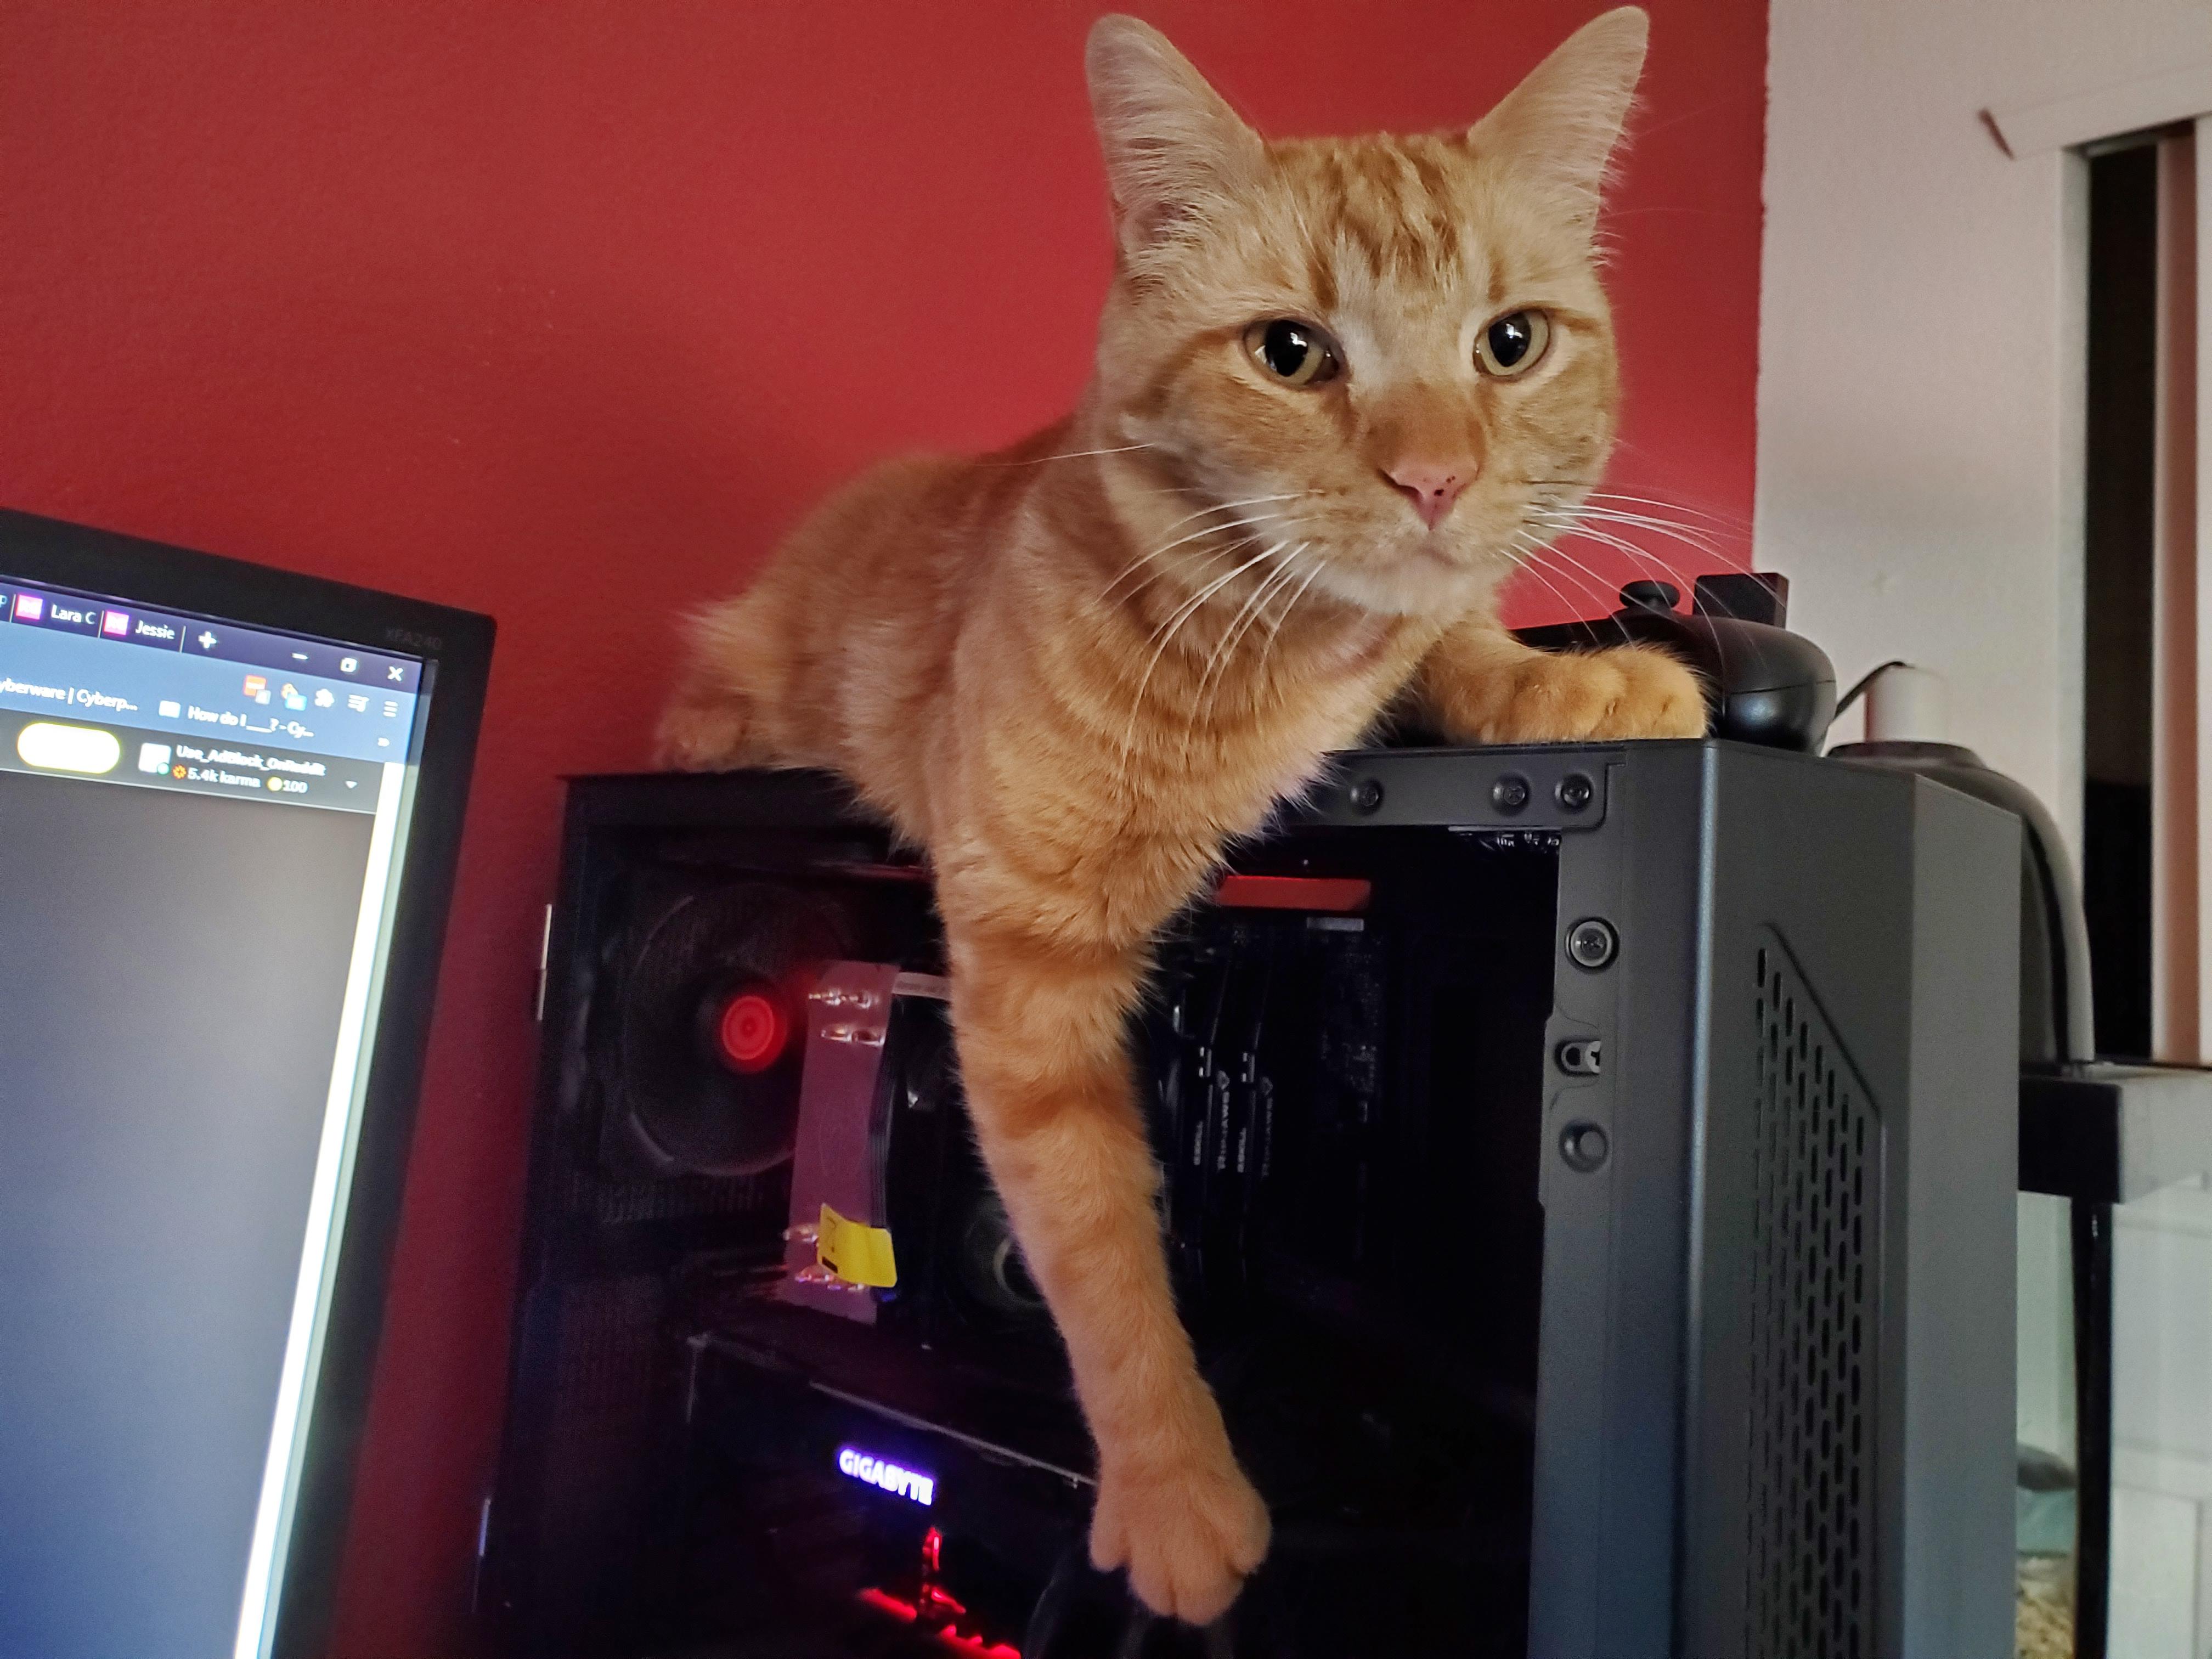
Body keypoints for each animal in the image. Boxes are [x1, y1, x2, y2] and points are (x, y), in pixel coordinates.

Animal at [657, 7, 1700, 1625]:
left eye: (1511, 342)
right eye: (1291, 354)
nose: (1436, 478)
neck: (1279, 652)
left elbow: (1457, 639)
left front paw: (1577, 680)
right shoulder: (1026, 975)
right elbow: (1101, 1262)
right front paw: (1175, 1494)